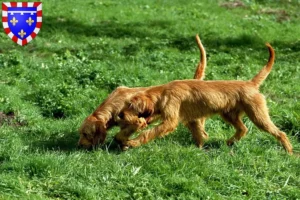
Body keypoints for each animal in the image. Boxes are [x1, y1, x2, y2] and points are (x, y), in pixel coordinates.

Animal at [78, 34, 207, 148]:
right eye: (80, 133)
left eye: (86, 134)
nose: (79, 145)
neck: (113, 105)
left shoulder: (135, 122)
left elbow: (123, 134)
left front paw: (126, 143)